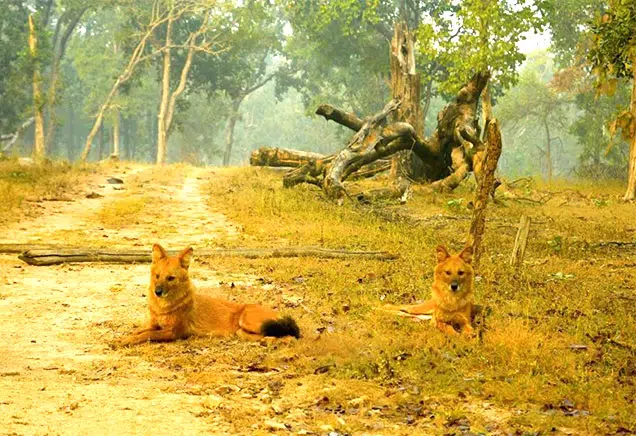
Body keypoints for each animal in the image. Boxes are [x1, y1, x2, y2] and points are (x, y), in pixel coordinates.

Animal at [120, 244, 302, 346]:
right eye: (157, 276)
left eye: (170, 278)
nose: (158, 292)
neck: (163, 306)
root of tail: (281, 315)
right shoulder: (154, 324)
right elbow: (139, 331)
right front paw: (125, 337)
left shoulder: (173, 332)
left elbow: (147, 335)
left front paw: (127, 341)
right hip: (241, 331)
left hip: (248, 320)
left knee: (292, 336)